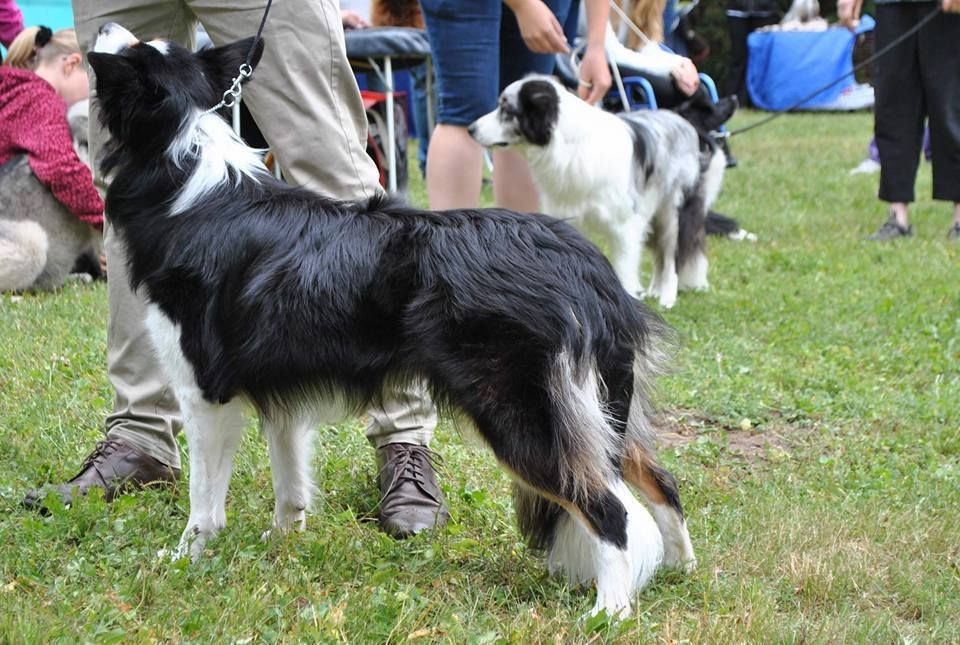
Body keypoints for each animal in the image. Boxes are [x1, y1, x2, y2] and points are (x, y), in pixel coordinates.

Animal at [88, 25, 696, 616]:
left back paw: (609, 610)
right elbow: (289, 477)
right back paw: (681, 569)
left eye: (132, 50)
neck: (183, 161)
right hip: (599, 406)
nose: (105, 24)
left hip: (525, 412)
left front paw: (184, 557)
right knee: (661, 482)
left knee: (609, 508)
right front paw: (282, 541)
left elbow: (204, 498)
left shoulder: (205, 391)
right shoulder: (280, 382)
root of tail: (585, 265)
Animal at [468, 75, 724, 306]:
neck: (568, 144)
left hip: (673, 209)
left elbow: (624, 269)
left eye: (506, 109)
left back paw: (667, 296)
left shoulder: (625, 226)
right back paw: (655, 290)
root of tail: (683, 120)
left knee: (671, 255)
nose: (470, 129)